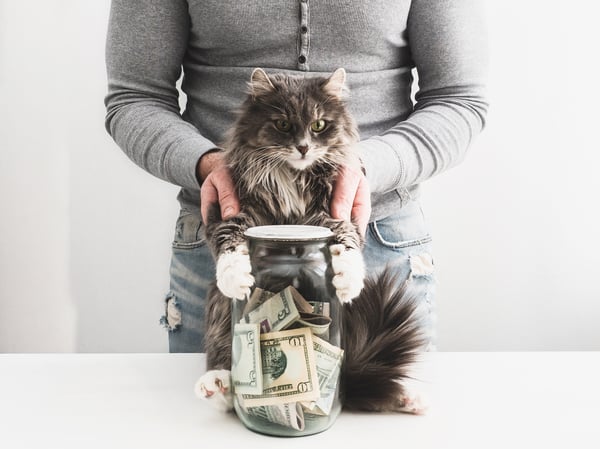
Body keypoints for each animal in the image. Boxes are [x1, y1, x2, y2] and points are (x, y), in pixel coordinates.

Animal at [196, 67, 426, 412]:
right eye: (283, 124)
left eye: (319, 125)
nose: (303, 147)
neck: (293, 177)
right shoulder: (230, 210)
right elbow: (231, 243)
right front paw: (237, 276)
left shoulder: (332, 213)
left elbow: (347, 243)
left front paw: (346, 279)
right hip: (224, 315)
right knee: (226, 359)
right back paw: (220, 386)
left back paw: (406, 398)